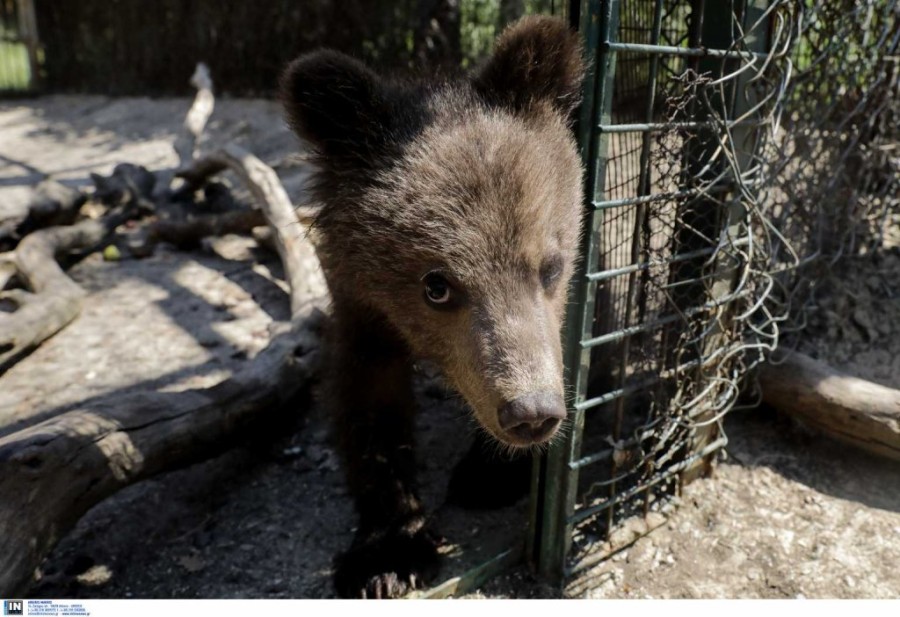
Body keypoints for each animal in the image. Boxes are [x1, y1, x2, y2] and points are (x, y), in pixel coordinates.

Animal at [280, 16, 585, 598]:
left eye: (550, 266)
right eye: (436, 286)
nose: (532, 412)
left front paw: (489, 474)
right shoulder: (363, 308)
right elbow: (368, 405)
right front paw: (387, 555)